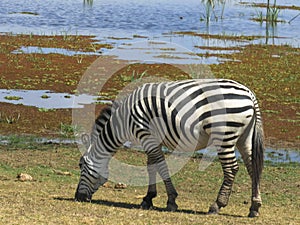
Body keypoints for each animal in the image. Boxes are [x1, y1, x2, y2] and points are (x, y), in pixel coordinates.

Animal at [75, 79, 264, 218]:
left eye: (81, 166)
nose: (78, 198)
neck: (123, 120)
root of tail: (249, 94)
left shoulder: (145, 134)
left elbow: (160, 165)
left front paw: (171, 201)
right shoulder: (152, 139)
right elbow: (151, 165)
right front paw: (148, 198)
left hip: (224, 134)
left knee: (231, 168)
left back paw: (216, 205)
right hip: (245, 136)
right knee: (252, 167)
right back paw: (254, 207)